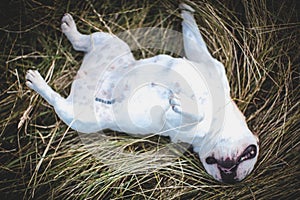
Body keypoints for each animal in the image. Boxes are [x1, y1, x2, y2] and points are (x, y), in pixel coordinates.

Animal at [26, 3, 258, 184]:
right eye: (245, 157)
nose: (227, 176)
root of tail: (82, 77)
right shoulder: (209, 63)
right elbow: (194, 39)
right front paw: (187, 12)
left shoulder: (178, 128)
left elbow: (192, 115)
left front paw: (182, 104)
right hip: (111, 42)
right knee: (83, 42)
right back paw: (68, 32)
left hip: (80, 117)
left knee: (60, 96)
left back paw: (38, 82)